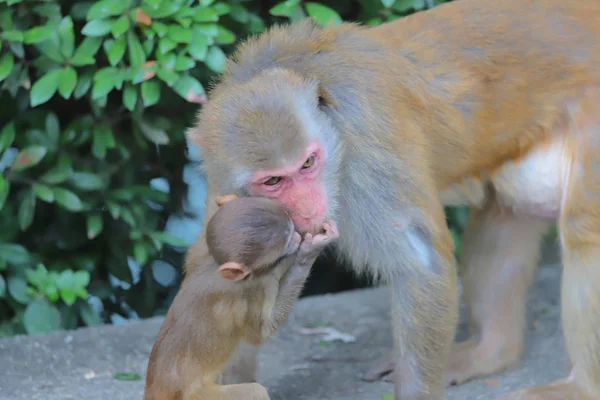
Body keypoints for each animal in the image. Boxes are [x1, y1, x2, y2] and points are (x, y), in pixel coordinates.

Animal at [143, 195, 336, 400]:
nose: (298, 236)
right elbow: (260, 334)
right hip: (199, 396)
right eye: (288, 240)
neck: (216, 268)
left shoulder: (199, 256)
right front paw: (310, 251)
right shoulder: (254, 288)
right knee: (255, 391)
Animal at [188, 1, 600, 398]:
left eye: (308, 163)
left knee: (583, 234)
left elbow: (420, 262)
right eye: (273, 180)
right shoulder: (221, 180)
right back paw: (491, 351)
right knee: (505, 215)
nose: (307, 206)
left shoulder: (366, 140)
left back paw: (580, 387)